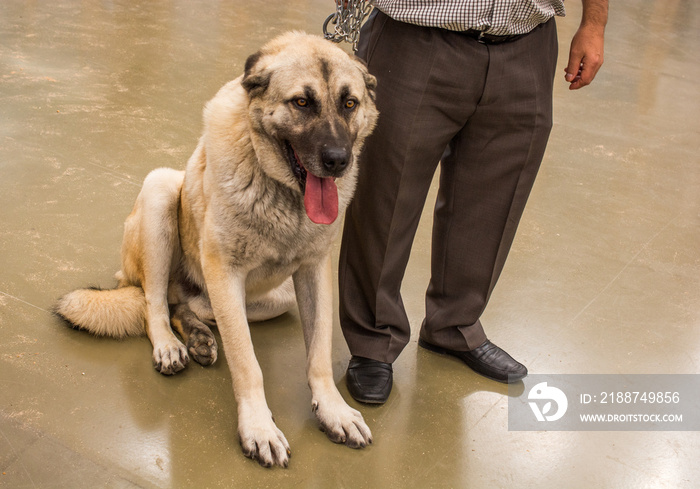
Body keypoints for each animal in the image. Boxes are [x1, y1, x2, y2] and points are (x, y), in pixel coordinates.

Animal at [54, 32, 378, 468]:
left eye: (349, 103)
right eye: (301, 102)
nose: (338, 161)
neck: (281, 192)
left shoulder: (313, 272)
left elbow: (319, 354)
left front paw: (332, 410)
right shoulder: (225, 272)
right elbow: (246, 361)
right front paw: (259, 428)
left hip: (273, 297)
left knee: (184, 305)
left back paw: (199, 336)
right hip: (160, 190)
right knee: (154, 304)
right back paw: (170, 345)